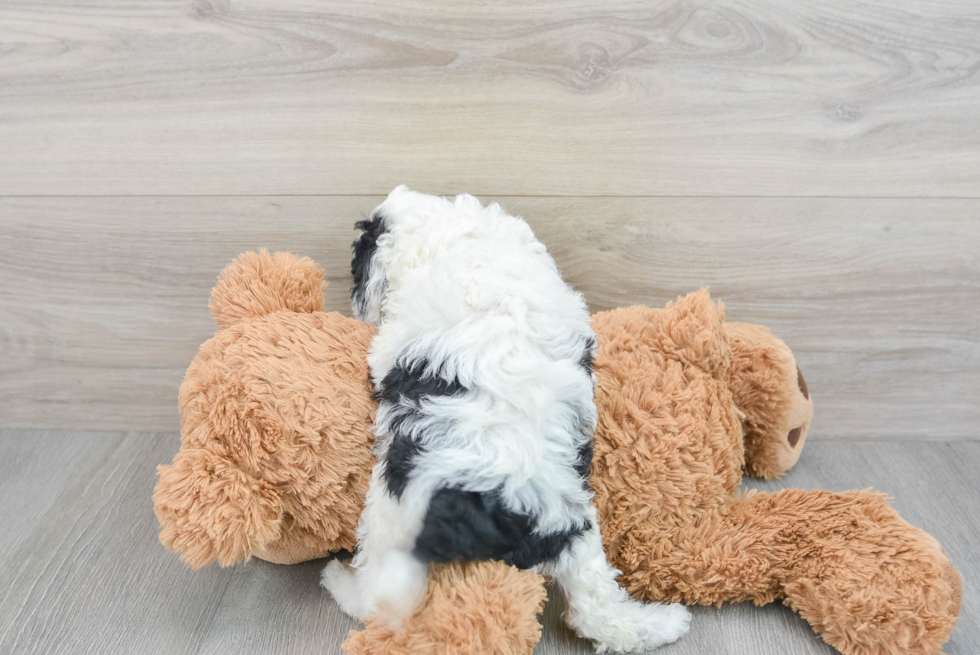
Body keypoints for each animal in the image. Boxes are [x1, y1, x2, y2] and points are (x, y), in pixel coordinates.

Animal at [322, 187, 688, 652]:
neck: (462, 236)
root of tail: (507, 504)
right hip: (573, 522)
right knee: (596, 608)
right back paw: (662, 623)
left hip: (391, 514)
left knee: (379, 598)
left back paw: (339, 581)